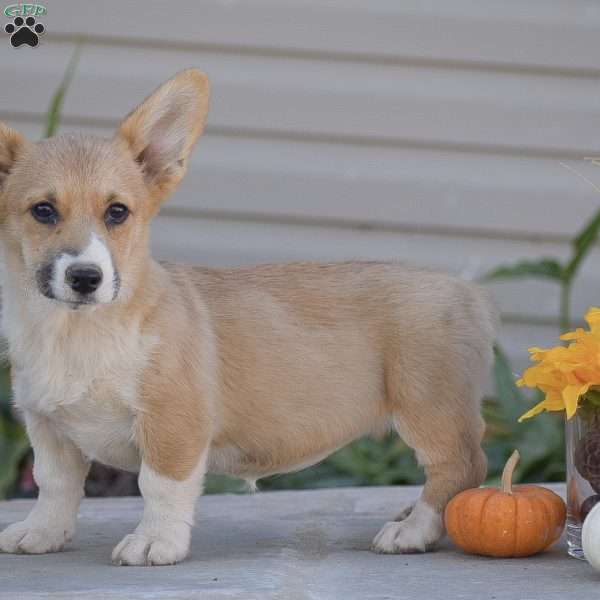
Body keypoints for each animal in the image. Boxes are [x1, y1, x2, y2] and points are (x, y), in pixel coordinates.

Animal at [0, 70, 496, 568]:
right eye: (43, 210)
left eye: (117, 212)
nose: (86, 277)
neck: (77, 332)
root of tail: (466, 290)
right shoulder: (47, 428)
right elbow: (54, 487)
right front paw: (43, 533)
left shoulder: (173, 423)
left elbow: (159, 486)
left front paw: (155, 541)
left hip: (427, 406)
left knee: (460, 466)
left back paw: (413, 529)